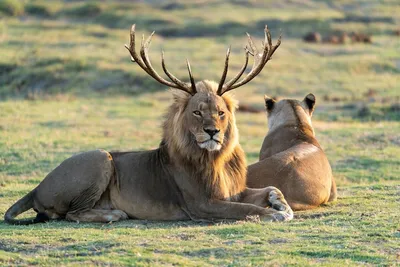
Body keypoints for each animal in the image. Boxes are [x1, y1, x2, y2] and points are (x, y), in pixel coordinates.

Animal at [3, 25, 294, 226]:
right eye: (197, 112)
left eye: (220, 113)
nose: (212, 132)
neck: (215, 159)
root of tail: (37, 186)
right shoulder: (202, 204)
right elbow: (247, 209)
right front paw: (274, 214)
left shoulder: (233, 191)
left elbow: (271, 188)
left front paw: (282, 205)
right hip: (101, 158)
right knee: (71, 214)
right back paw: (113, 214)